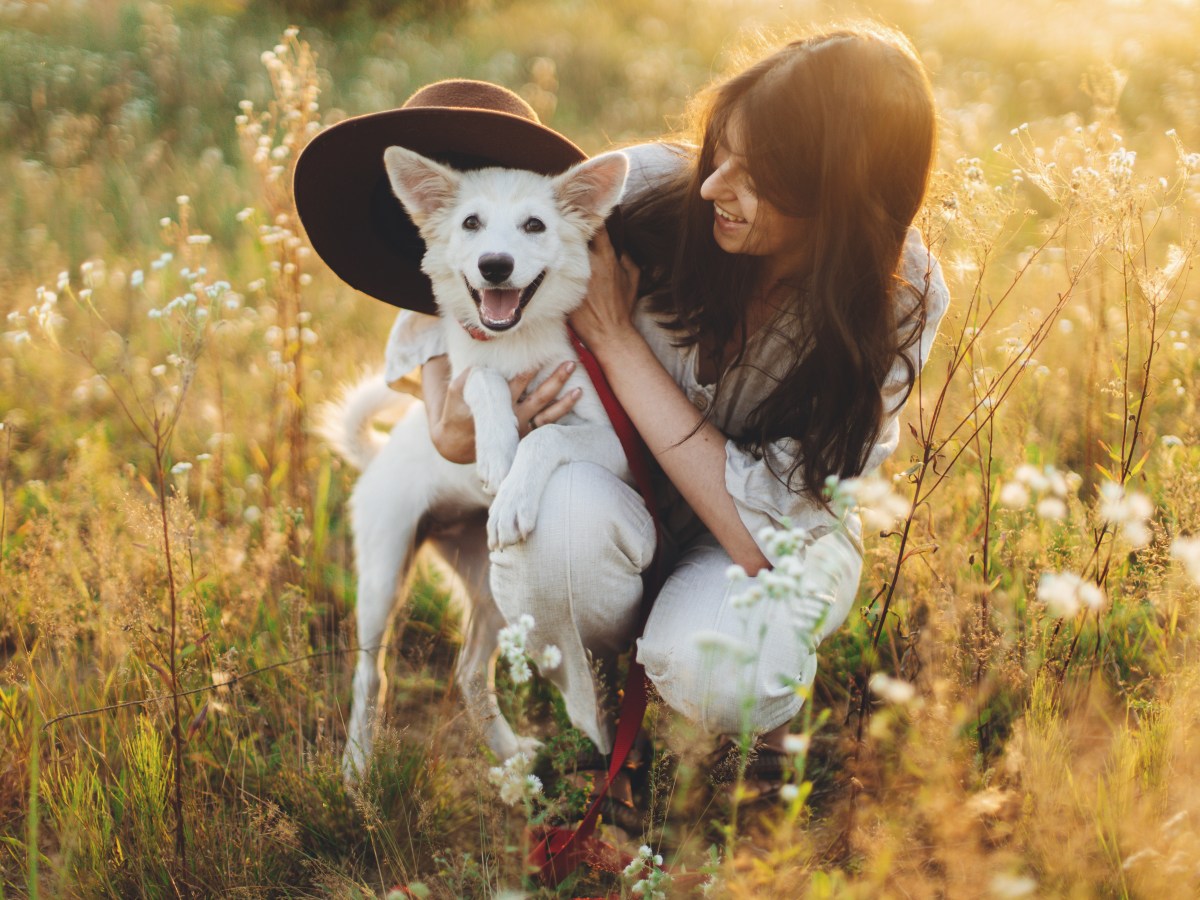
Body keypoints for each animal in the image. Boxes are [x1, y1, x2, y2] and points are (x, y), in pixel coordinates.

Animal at [324, 144, 633, 777]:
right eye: (470, 224)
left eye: (535, 226)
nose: (494, 265)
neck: (516, 344)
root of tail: (376, 458)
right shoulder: (470, 374)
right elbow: (483, 379)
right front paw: (496, 449)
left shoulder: (614, 444)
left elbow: (545, 437)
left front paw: (513, 489)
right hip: (382, 577)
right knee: (370, 675)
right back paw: (357, 768)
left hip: (493, 588)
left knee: (469, 672)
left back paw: (512, 759)